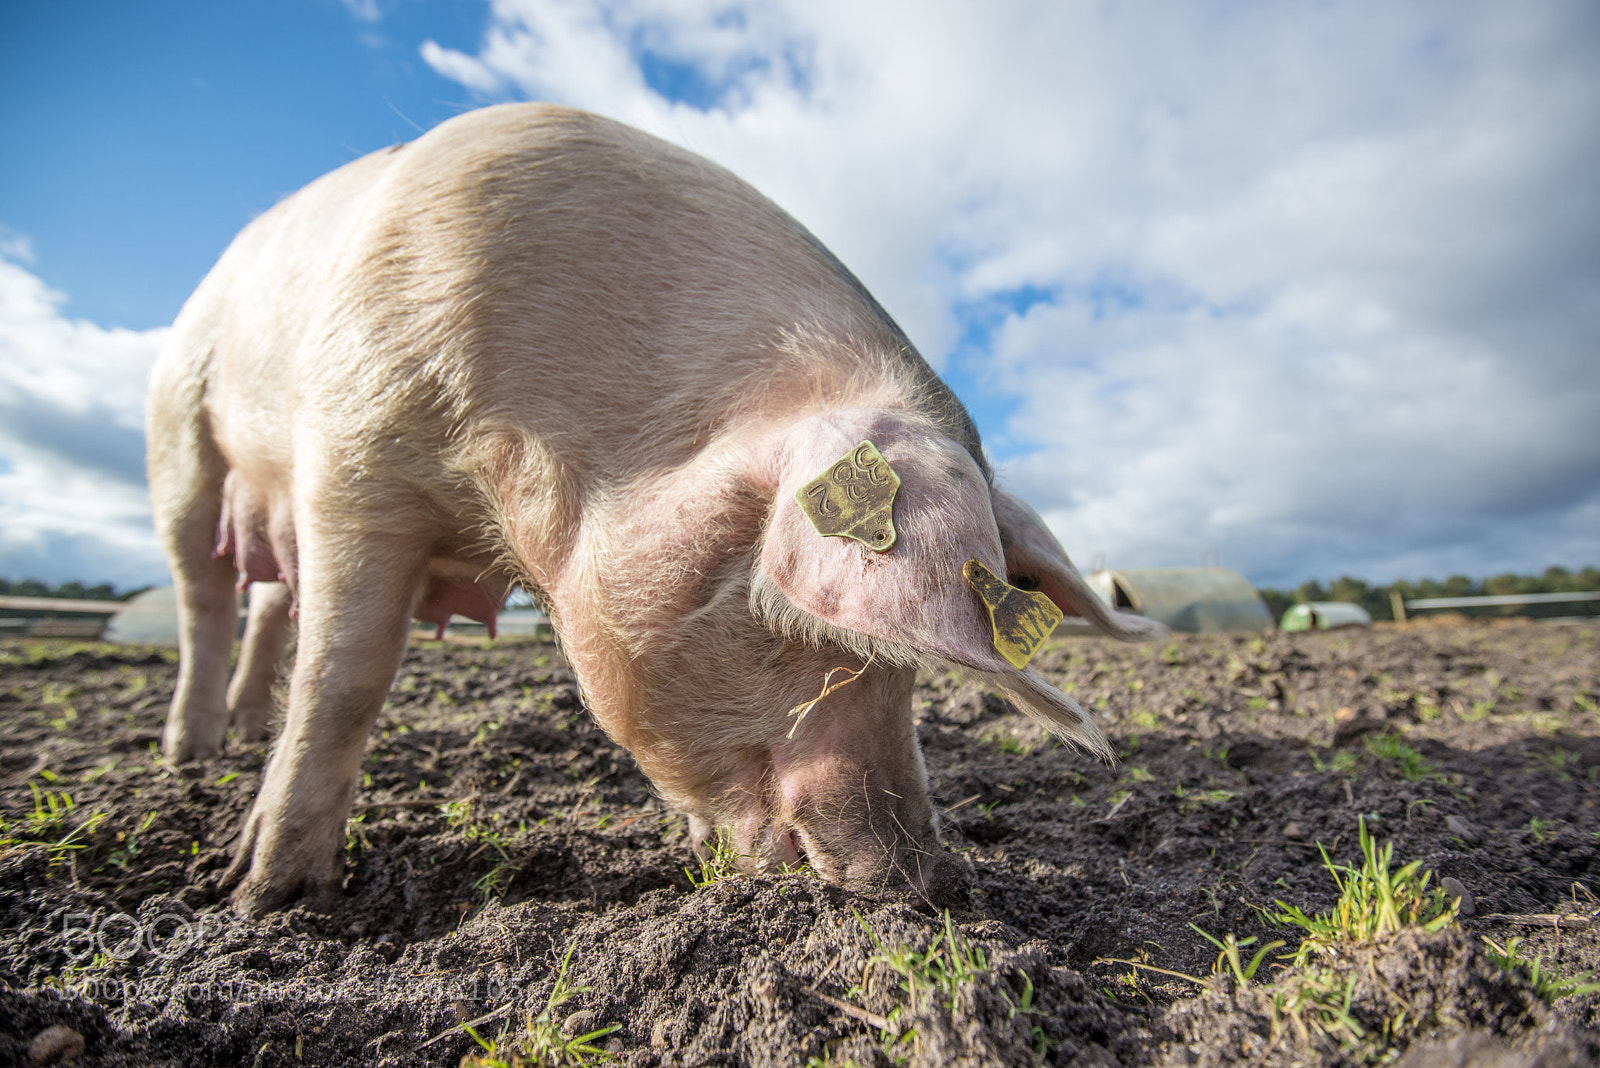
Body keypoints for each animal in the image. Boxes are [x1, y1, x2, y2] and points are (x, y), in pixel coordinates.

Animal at [146, 103, 1160, 918]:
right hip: (178, 440)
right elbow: (344, 676)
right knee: (205, 598)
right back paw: (189, 760)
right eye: (823, 641)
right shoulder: (349, 451)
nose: (932, 883)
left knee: (265, 603)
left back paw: (238, 736)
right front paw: (268, 900)